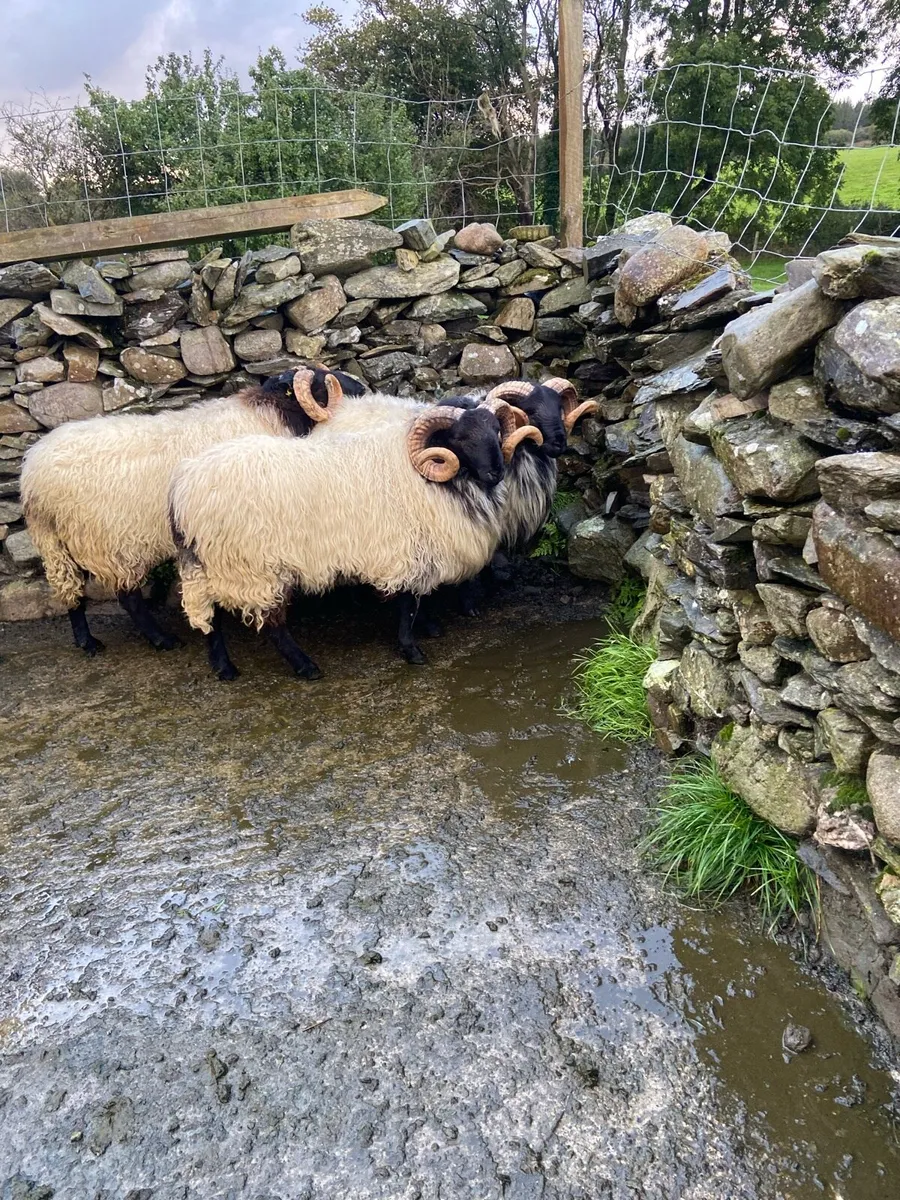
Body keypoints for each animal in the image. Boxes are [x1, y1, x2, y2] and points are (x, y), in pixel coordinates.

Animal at [20, 367, 357, 655]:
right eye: (323, 383)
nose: (363, 389)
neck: (273, 414)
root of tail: (34, 471)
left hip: (56, 541)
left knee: (70, 589)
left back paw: (87, 641)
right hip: (108, 541)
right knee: (127, 598)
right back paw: (160, 640)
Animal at [168, 402, 542, 680]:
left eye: (496, 431)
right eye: (460, 438)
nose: (496, 472)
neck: (426, 475)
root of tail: (184, 484)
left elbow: (419, 599)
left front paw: (430, 627)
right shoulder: (404, 550)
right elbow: (408, 604)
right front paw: (412, 649)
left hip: (217, 562)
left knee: (210, 614)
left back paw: (224, 667)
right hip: (251, 566)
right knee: (271, 625)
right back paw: (305, 666)